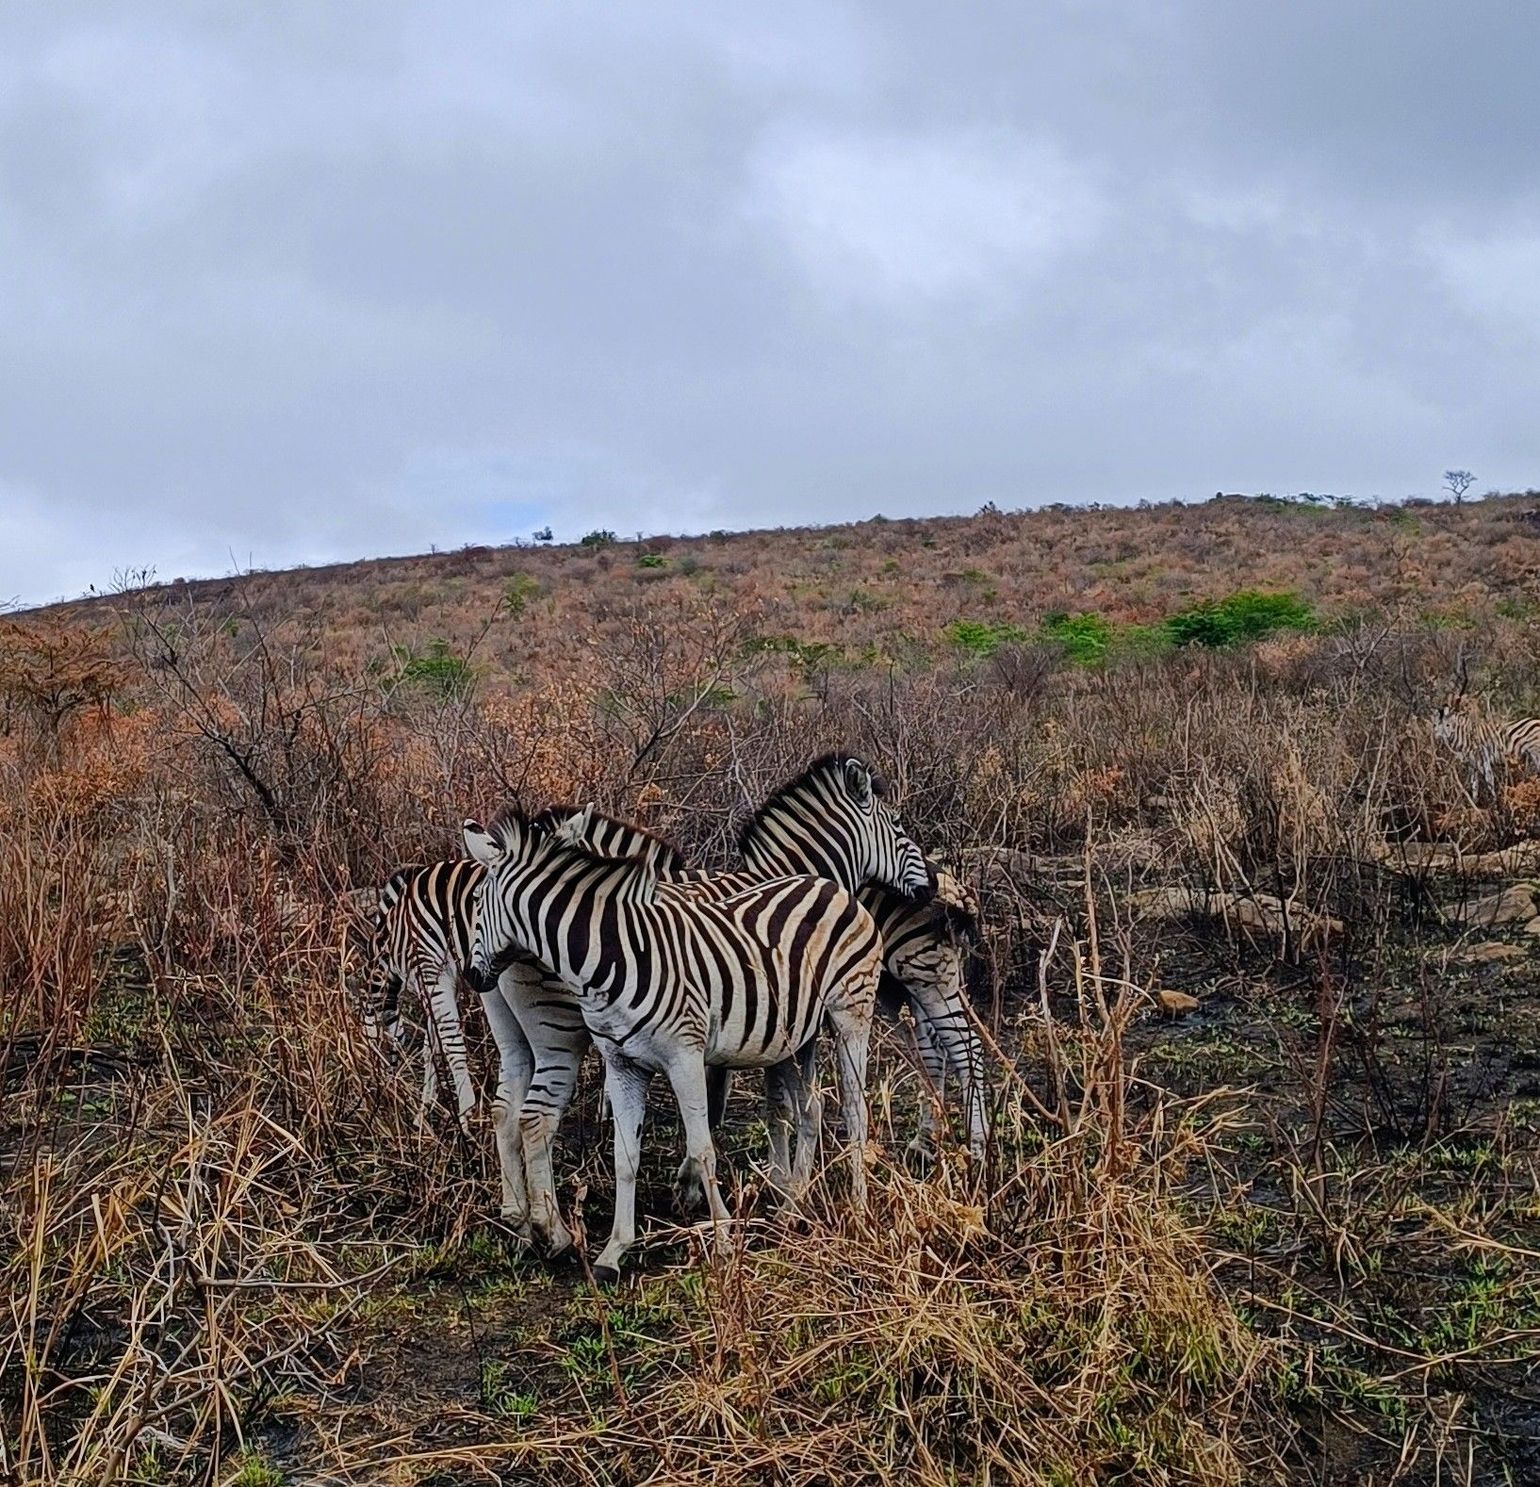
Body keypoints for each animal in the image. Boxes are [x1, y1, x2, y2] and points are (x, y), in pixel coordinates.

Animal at [463, 804, 890, 1283]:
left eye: (476, 902)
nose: (472, 976)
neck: (609, 955)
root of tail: (827, 885)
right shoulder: (622, 1064)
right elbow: (625, 1156)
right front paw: (613, 1252)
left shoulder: (687, 1055)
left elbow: (704, 1147)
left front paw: (722, 1239)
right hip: (801, 1034)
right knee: (813, 1107)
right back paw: (792, 1208)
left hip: (850, 1014)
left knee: (854, 1109)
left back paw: (857, 1210)